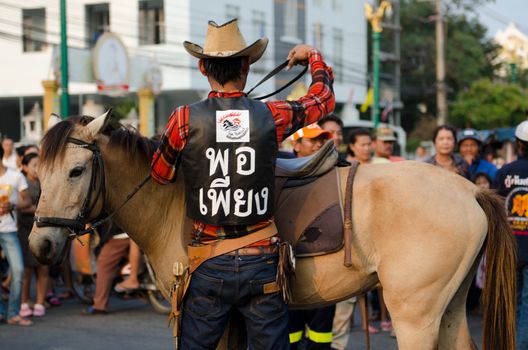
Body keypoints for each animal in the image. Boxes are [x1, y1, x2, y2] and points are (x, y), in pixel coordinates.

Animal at [28, 113, 516, 348]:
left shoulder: (206, 311)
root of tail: (471, 191)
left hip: (415, 316)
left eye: (75, 171)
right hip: (449, 308)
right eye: (40, 172)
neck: (173, 202)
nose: (40, 244)